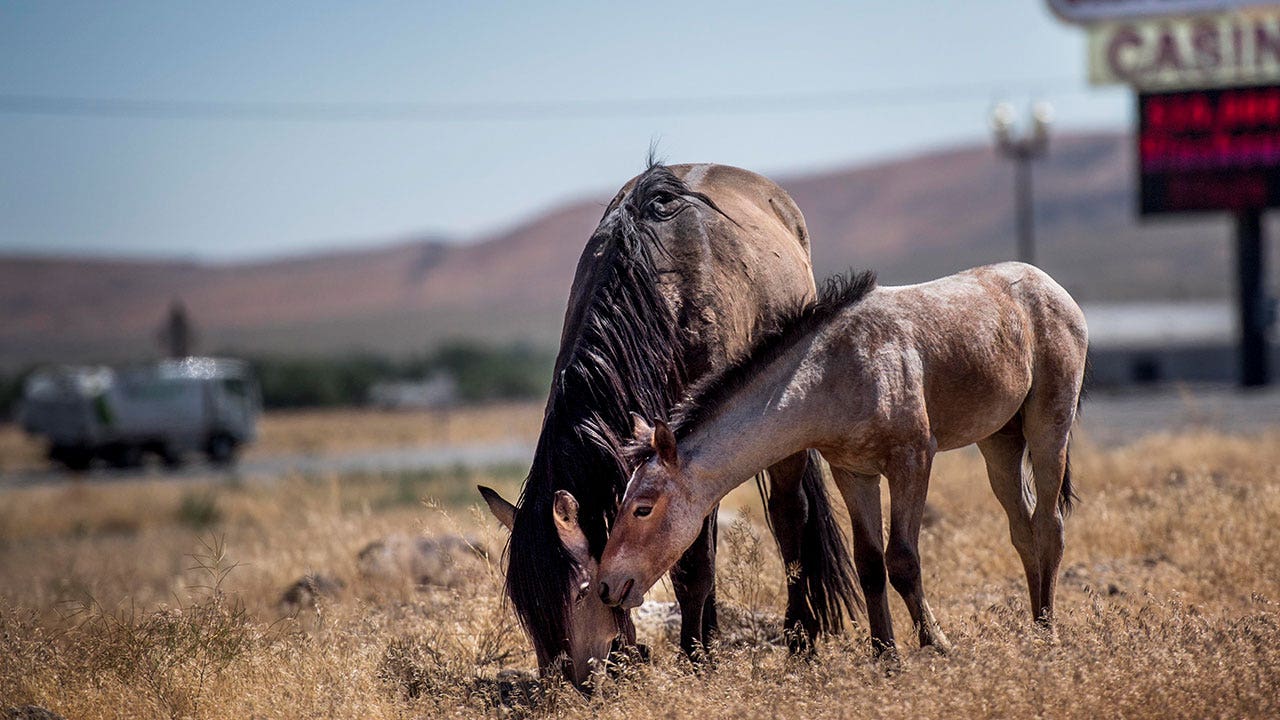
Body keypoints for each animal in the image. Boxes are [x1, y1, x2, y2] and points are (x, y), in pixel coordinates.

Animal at [481, 159, 860, 686]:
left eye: (580, 590)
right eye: (524, 606)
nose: (571, 683)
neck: (659, 294)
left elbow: (694, 563)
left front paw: (695, 660)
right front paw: (683, 650)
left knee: (789, 518)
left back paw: (799, 641)